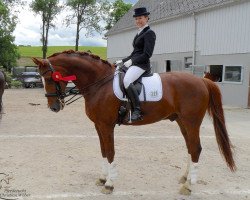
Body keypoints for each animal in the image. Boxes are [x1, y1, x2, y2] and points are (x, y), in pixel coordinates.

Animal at [32, 50, 235, 195]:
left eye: (50, 78)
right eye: (41, 78)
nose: (54, 107)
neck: (99, 84)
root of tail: (202, 81)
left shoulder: (106, 126)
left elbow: (110, 152)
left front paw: (109, 184)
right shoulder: (98, 126)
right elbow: (103, 151)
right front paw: (102, 178)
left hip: (192, 122)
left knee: (196, 148)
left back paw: (189, 187)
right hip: (182, 122)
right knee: (191, 148)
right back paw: (185, 178)